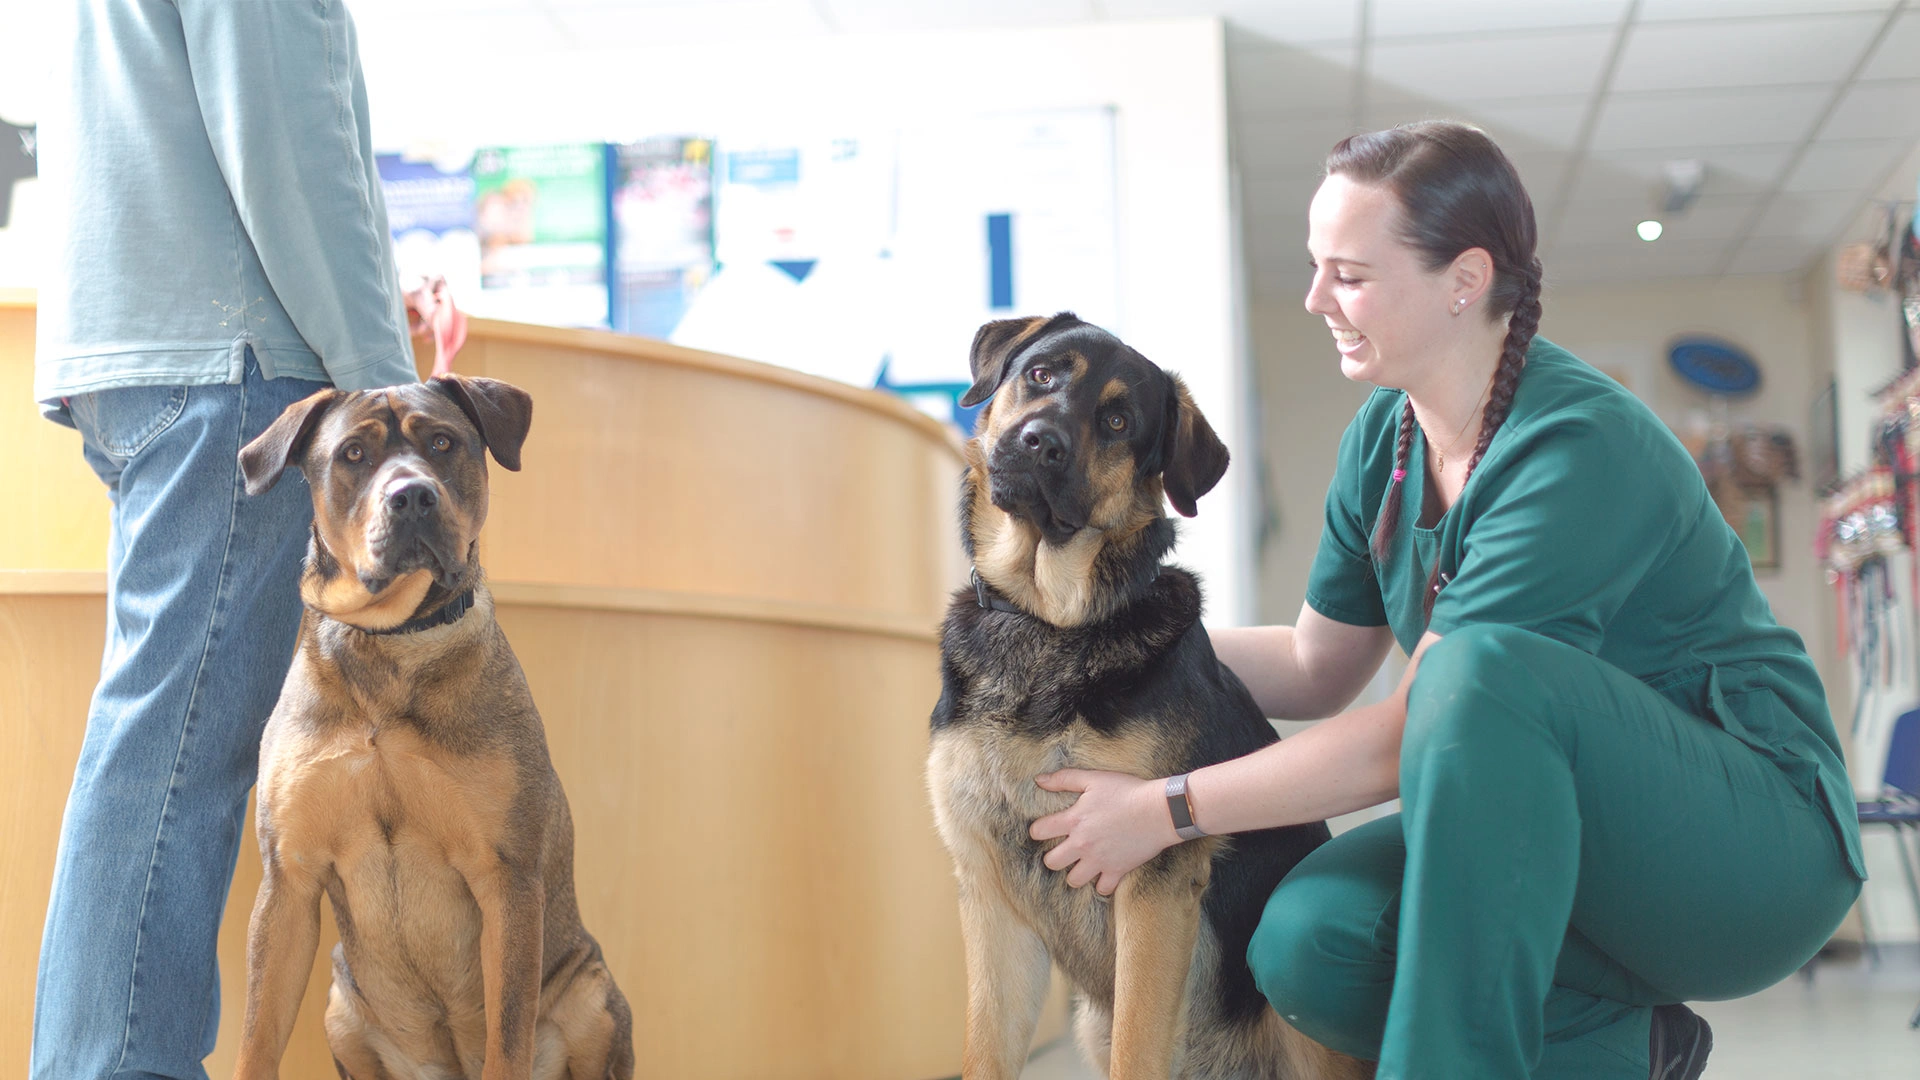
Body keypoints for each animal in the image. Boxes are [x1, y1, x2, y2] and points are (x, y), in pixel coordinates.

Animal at [226, 376, 629, 1076]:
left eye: (442, 443)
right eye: (353, 454)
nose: (412, 495)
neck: (392, 641)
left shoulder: (506, 880)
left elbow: (507, 1040)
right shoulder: (288, 883)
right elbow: (257, 1040)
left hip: (594, 994)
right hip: (341, 1008)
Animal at [925, 313, 1367, 1076]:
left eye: (1117, 421)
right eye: (1040, 374)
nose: (1041, 442)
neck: (1045, 619)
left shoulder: (1151, 886)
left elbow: (1139, 1047)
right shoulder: (990, 901)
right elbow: (985, 1052)